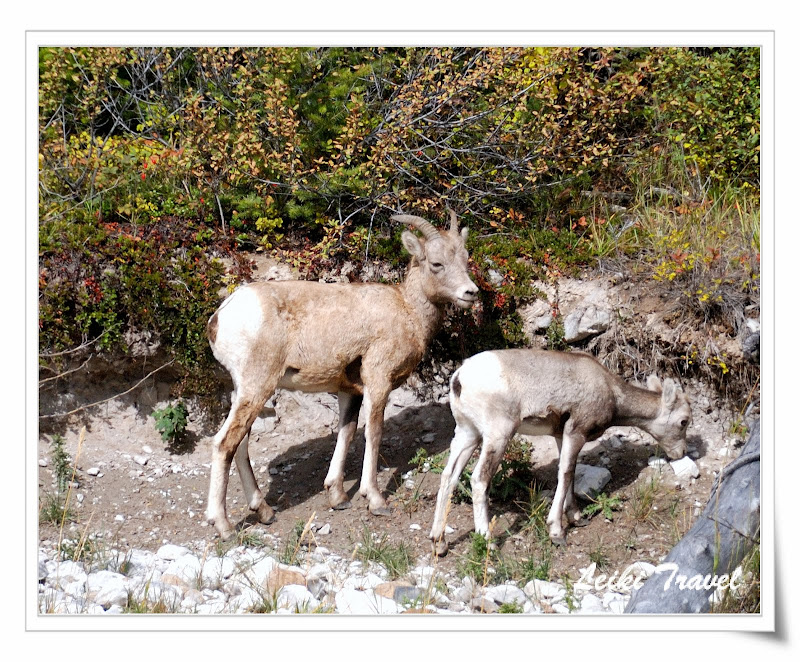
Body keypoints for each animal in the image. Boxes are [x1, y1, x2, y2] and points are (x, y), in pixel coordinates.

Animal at [208, 211, 482, 540]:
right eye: (436, 263)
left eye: (465, 258)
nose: (470, 293)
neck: (408, 310)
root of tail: (220, 318)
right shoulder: (378, 381)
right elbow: (373, 432)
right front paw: (375, 500)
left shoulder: (350, 390)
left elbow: (346, 433)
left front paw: (337, 497)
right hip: (256, 388)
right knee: (224, 443)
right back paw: (224, 526)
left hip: (244, 392)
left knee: (241, 444)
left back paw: (265, 512)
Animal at [428, 348, 692, 556]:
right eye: (684, 421)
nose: (681, 452)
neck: (611, 391)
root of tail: (459, 379)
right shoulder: (576, 432)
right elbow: (565, 474)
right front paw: (557, 532)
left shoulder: (560, 435)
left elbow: (570, 474)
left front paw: (577, 517)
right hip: (497, 436)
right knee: (479, 480)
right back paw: (488, 542)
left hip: (467, 434)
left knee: (448, 476)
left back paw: (438, 543)